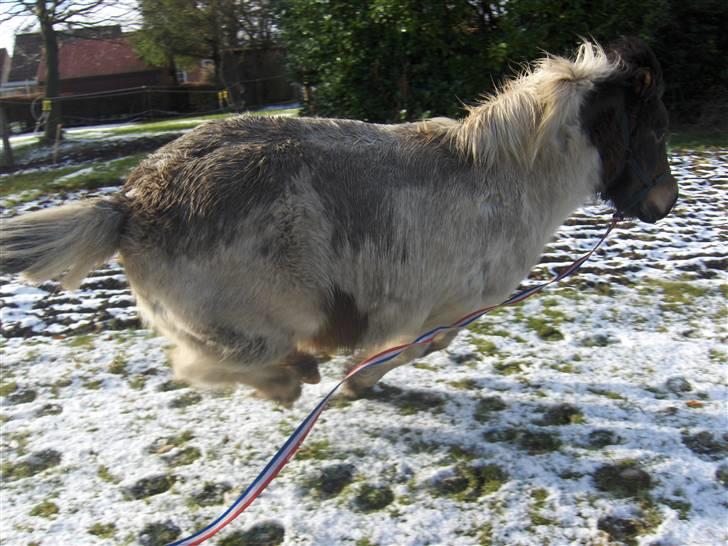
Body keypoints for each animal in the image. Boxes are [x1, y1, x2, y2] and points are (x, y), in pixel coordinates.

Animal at [0, 38, 676, 402]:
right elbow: (421, 345)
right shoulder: (453, 305)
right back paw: (292, 379)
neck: (505, 179)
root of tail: (129, 204)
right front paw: (356, 381)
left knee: (197, 364)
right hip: (248, 328)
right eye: (656, 128)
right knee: (202, 366)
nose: (665, 201)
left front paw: (355, 379)